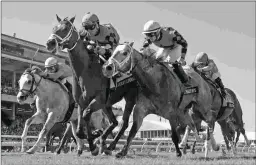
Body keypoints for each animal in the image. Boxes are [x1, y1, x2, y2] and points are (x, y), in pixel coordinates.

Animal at [46, 15, 138, 155]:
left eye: (65, 28)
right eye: (53, 28)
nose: (50, 43)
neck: (85, 70)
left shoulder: (98, 100)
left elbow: (86, 116)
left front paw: (94, 139)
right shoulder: (81, 102)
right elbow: (80, 128)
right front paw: (93, 144)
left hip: (129, 98)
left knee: (124, 124)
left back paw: (110, 145)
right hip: (107, 105)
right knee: (114, 122)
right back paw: (103, 143)